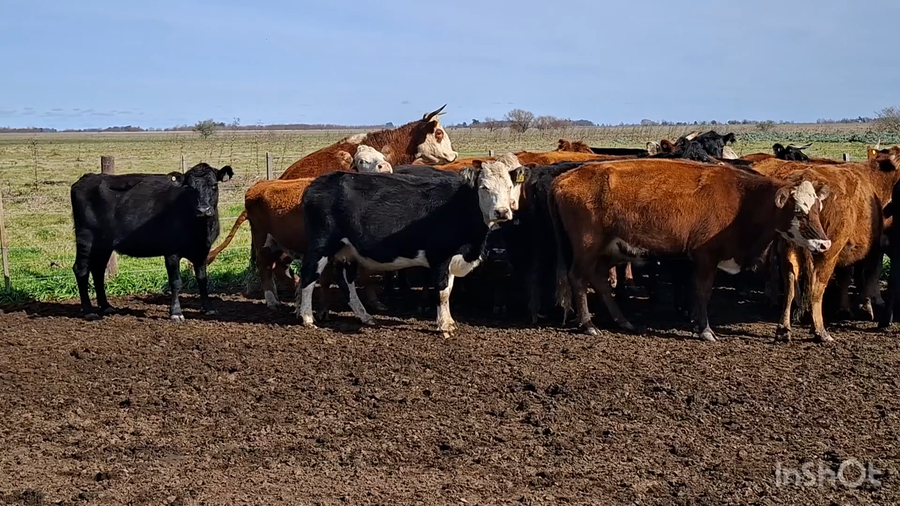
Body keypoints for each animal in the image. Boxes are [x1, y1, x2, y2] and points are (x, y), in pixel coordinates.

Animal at [70, 163, 234, 321]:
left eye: (214, 185)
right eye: (190, 188)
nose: (203, 210)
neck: (200, 230)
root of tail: (87, 178)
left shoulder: (202, 251)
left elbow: (202, 279)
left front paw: (209, 308)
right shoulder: (171, 252)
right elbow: (176, 282)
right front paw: (176, 312)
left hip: (104, 244)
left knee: (98, 270)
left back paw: (106, 306)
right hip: (86, 237)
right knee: (81, 269)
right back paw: (89, 311)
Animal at [296, 160, 529, 337]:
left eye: (509, 187)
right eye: (484, 187)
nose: (502, 212)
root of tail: (318, 183)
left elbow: (449, 290)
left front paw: (449, 322)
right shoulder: (439, 256)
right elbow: (442, 292)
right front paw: (444, 326)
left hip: (348, 250)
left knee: (346, 281)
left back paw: (364, 316)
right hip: (321, 244)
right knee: (308, 276)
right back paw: (307, 317)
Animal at [547, 159, 831, 341]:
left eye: (818, 209)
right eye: (798, 211)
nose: (824, 244)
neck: (743, 200)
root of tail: (563, 179)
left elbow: (695, 290)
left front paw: (695, 323)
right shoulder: (707, 256)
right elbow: (703, 291)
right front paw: (705, 330)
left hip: (610, 250)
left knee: (598, 279)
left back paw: (622, 320)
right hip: (587, 246)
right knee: (578, 278)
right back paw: (588, 324)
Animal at [771, 146, 900, 342]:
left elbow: (846, 276)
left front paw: (846, 308)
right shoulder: (874, 248)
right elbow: (869, 275)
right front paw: (866, 307)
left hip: (788, 248)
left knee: (790, 284)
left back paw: (784, 329)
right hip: (827, 251)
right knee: (817, 286)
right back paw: (820, 331)